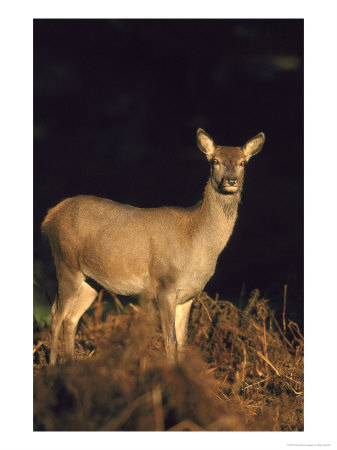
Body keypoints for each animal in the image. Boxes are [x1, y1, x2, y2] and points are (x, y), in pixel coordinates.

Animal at [41, 128, 262, 364]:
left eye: (243, 162)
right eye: (215, 161)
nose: (231, 180)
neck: (196, 240)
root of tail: (50, 215)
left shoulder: (189, 295)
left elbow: (182, 343)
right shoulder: (164, 284)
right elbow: (170, 343)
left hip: (91, 281)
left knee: (71, 318)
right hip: (66, 263)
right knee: (56, 314)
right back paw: (53, 365)